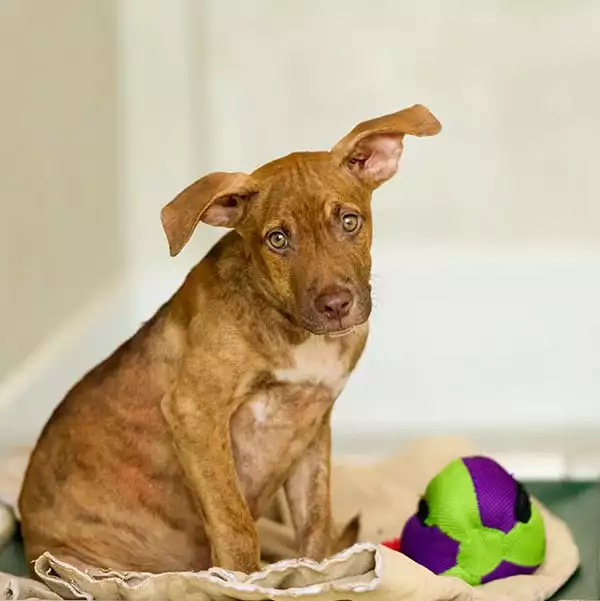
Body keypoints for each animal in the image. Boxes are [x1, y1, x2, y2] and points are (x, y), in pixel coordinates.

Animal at [18, 105, 440, 576]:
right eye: (278, 239)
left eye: (349, 221)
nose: (335, 304)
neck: (292, 329)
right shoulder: (195, 412)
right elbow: (235, 525)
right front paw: (247, 583)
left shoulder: (313, 427)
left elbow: (316, 524)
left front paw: (317, 575)